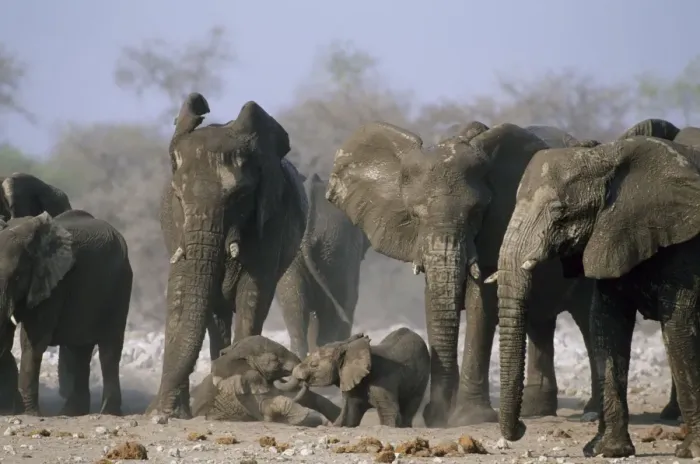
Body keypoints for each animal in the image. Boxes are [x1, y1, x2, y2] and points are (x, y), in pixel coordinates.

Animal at [0, 210, 132, 416]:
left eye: (17, 276)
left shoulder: (55, 284)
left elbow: (34, 342)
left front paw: (30, 414)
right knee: (80, 351)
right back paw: (71, 412)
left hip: (120, 286)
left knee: (108, 350)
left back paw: (107, 413)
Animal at [152, 93, 307, 418]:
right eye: (179, 197)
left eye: (239, 196)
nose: (157, 414)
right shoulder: (176, 226)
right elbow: (181, 293)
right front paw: (169, 414)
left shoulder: (272, 216)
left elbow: (253, 292)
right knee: (215, 316)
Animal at [288, 328, 430, 427]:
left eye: (314, 365)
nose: (304, 384)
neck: (348, 346)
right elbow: (350, 414)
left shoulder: (382, 382)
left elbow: (390, 414)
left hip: (421, 378)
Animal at [324, 121, 599, 427]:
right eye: (414, 216)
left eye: (477, 213)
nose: (434, 414)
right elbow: (433, 302)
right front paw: (439, 418)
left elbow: (482, 306)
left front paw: (469, 418)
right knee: (540, 322)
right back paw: (535, 411)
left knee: (587, 320)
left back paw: (591, 410)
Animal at [492, 136, 700, 458]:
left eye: (559, 212)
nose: (523, 428)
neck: (606, 157)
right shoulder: (612, 235)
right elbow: (607, 324)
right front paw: (607, 450)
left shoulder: (684, 246)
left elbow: (679, 327)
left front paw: (691, 451)